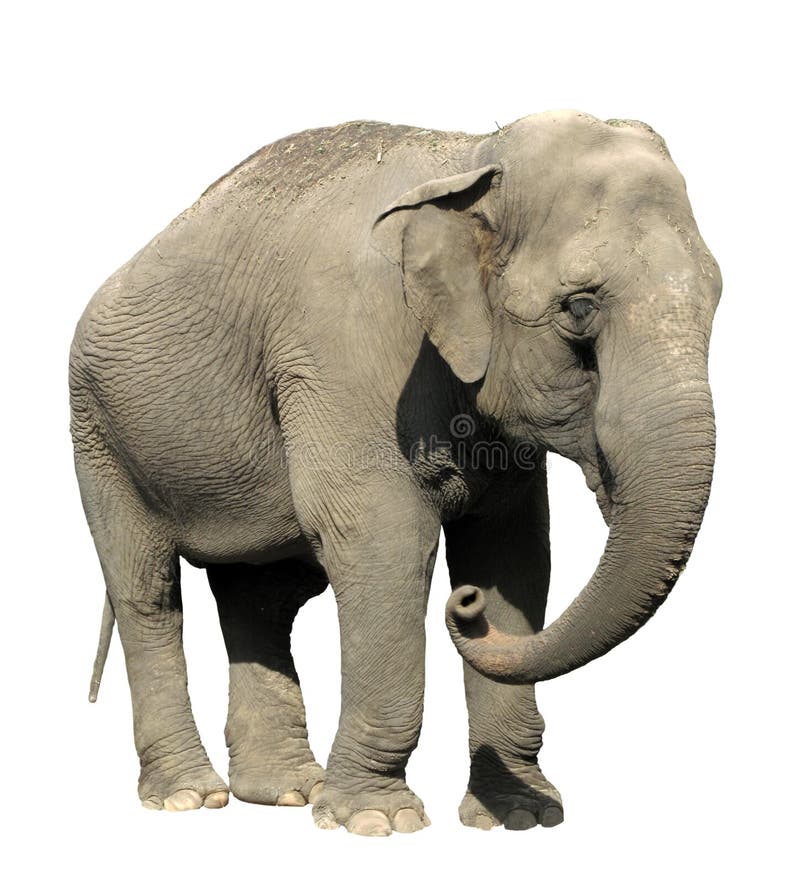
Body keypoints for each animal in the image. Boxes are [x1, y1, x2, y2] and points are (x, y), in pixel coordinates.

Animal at [69, 110, 720, 835]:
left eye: (717, 300)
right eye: (578, 309)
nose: (462, 605)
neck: (470, 160)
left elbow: (514, 552)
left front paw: (521, 815)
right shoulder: (342, 354)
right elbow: (383, 540)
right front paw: (378, 821)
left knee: (259, 595)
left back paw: (284, 793)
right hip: (99, 435)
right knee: (148, 591)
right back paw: (189, 796)